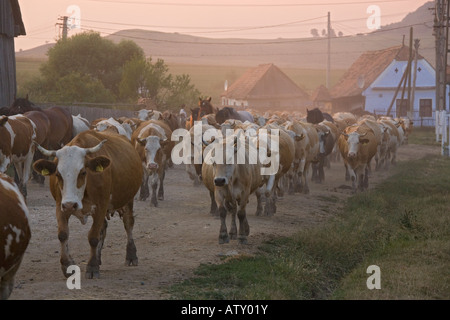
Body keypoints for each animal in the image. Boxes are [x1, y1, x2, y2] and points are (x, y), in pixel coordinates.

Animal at [32, 129, 142, 278]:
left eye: (83, 172)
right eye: (58, 174)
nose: (70, 205)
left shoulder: (101, 206)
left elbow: (93, 237)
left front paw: (92, 266)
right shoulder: (60, 206)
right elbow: (63, 234)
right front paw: (67, 264)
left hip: (128, 199)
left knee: (128, 223)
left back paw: (131, 255)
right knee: (103, 228)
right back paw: (98, 257)